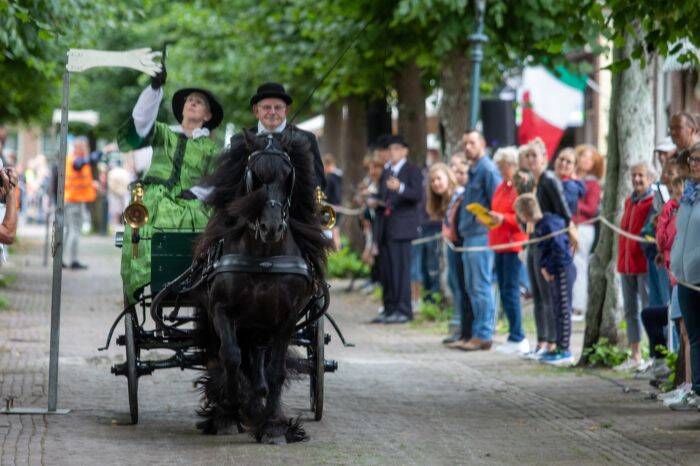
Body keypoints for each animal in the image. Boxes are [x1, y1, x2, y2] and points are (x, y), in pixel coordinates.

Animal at [193, 129, 332, 442]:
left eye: (289, 176)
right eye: (254, 176)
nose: (272, 228)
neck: (264, 255)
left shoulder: (287, 319)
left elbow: (275, 369)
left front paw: (273, 425)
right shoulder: (221, 310)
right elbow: (230, 358)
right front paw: (228, 410)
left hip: (260, 326)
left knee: (259, 362)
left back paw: (258, 405)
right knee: (230, 358)